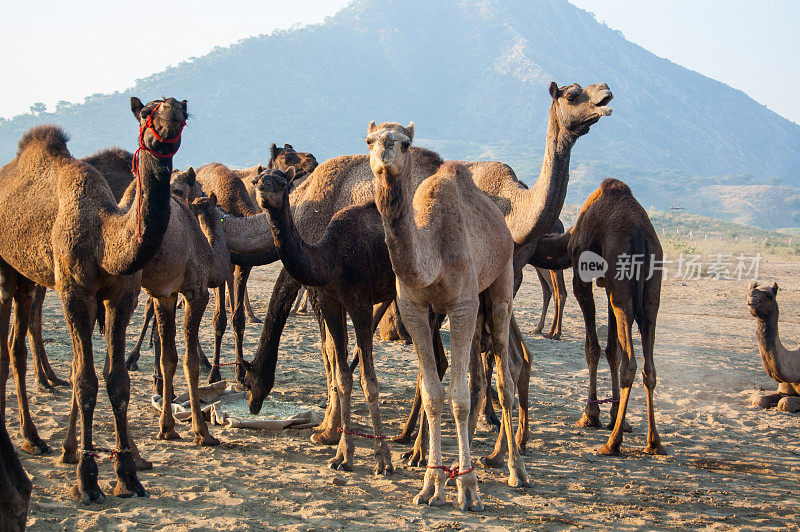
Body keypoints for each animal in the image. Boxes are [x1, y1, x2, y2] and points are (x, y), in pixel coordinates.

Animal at [0, 96, 187, 502]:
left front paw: (128, 476)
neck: (104, 235)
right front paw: (86, 479)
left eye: (184, 112)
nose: (169, 119)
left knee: (14, 347)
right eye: (146, 112)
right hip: (5, 270)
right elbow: (84, 379)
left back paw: (33, 438)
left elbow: (117, 380)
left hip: (26, 276)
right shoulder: (75, 293)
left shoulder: (121, 297)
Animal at [536, 178, 664, 454]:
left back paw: (612, 443)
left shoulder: (583, 278)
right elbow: (612, 350)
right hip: (649, 295)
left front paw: (591, 415)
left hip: (623, 283)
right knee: (648, 366)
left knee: (631, 364)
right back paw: (654, 442)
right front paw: (616, 417)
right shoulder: (609, 287)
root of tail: (641, 236)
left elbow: (592, 348)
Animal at [748, 282, 800, 412]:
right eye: (748, 291)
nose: (752, 296)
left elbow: (785, 403)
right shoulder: (783, 389)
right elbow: (759, 400)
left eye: (770, 296)